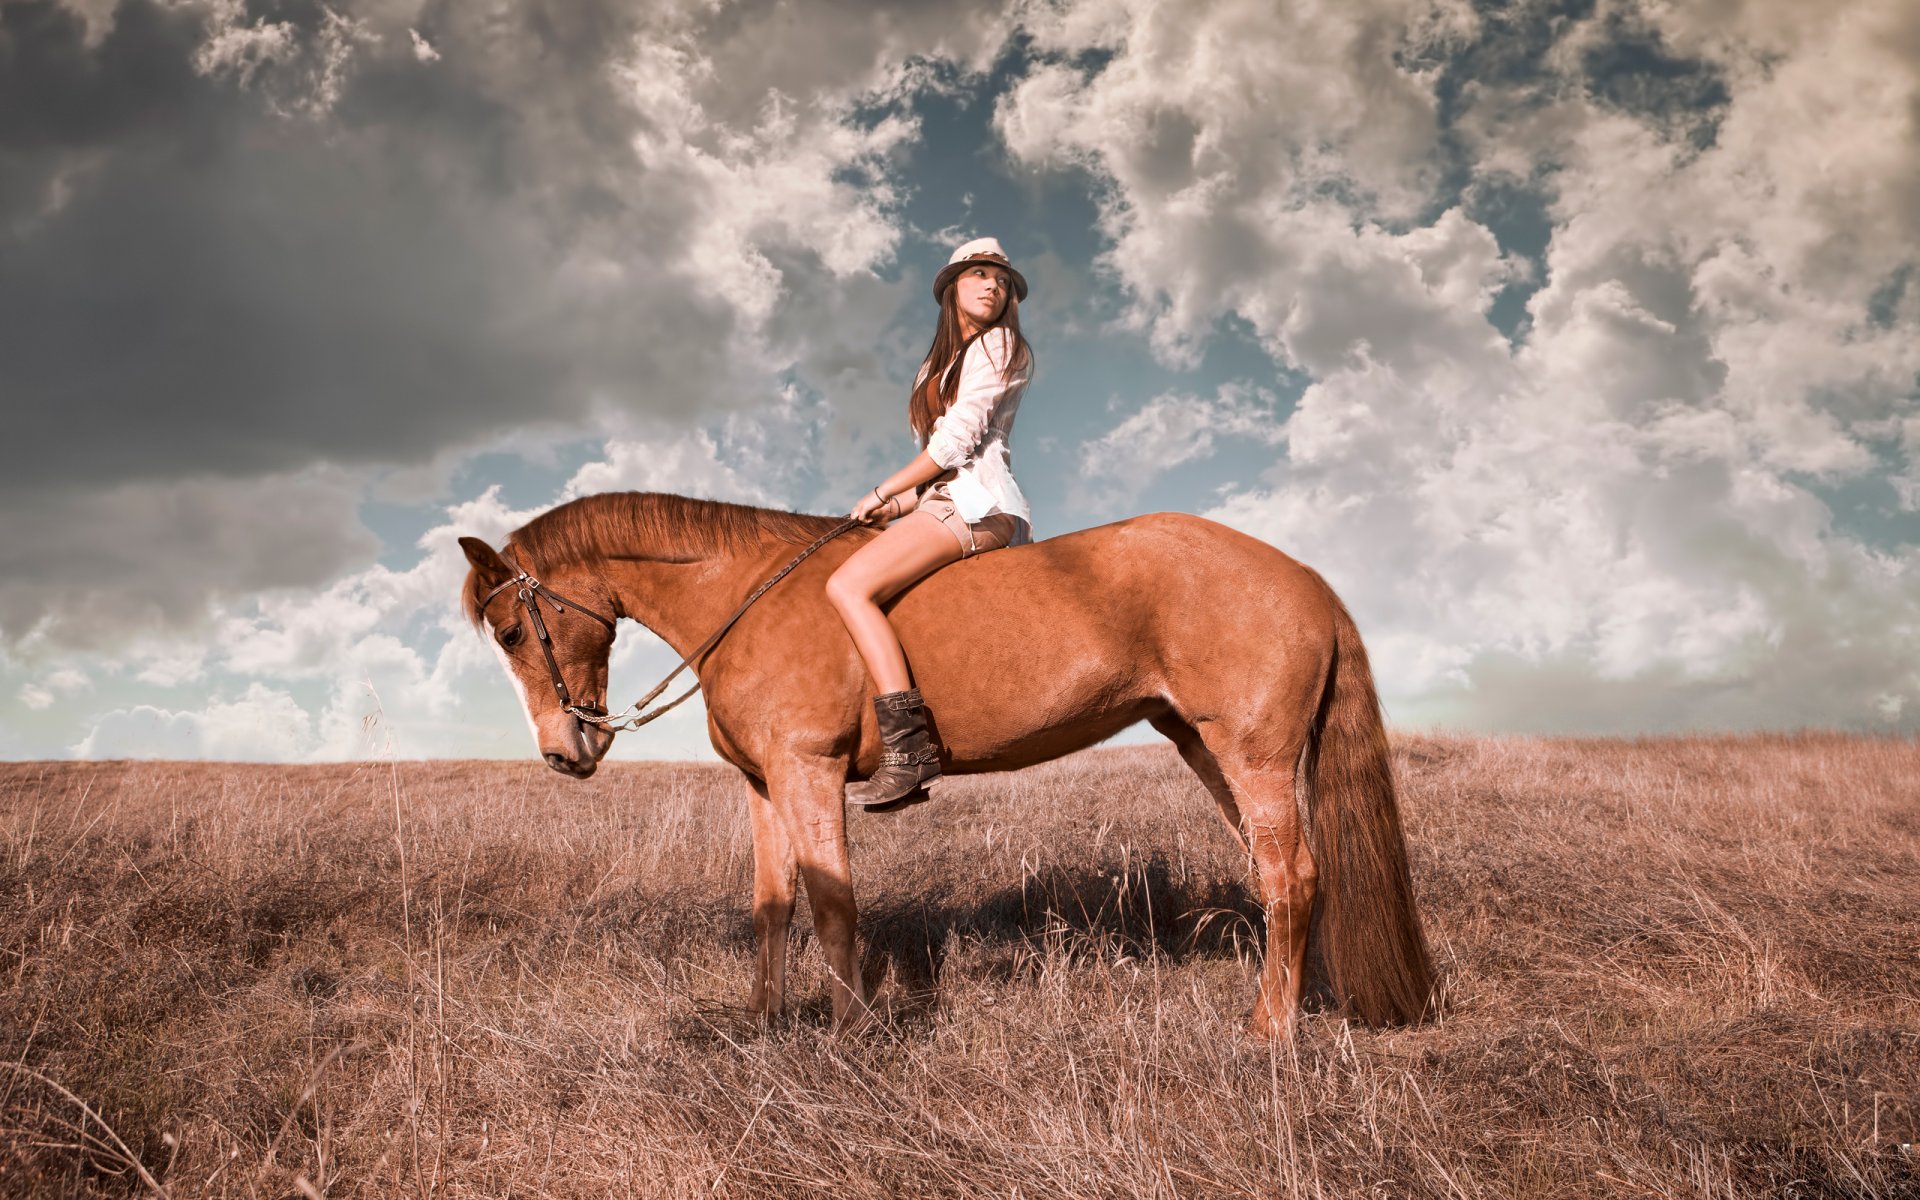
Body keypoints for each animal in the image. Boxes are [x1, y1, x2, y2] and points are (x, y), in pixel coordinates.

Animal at [456, 491, 1436, 1036]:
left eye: (509, 632)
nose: (565, 751)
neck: (746, 597)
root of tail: (1303, 576)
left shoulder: (809, 774)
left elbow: (833, 902)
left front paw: (851, 1034)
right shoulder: (764, 786)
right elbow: (773, 907)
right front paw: (765, 1023)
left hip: (1251, 754)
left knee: (1292, 877)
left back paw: (1270, 1031)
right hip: (1209, 750)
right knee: (1288, 877)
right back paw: (1302, 1003)